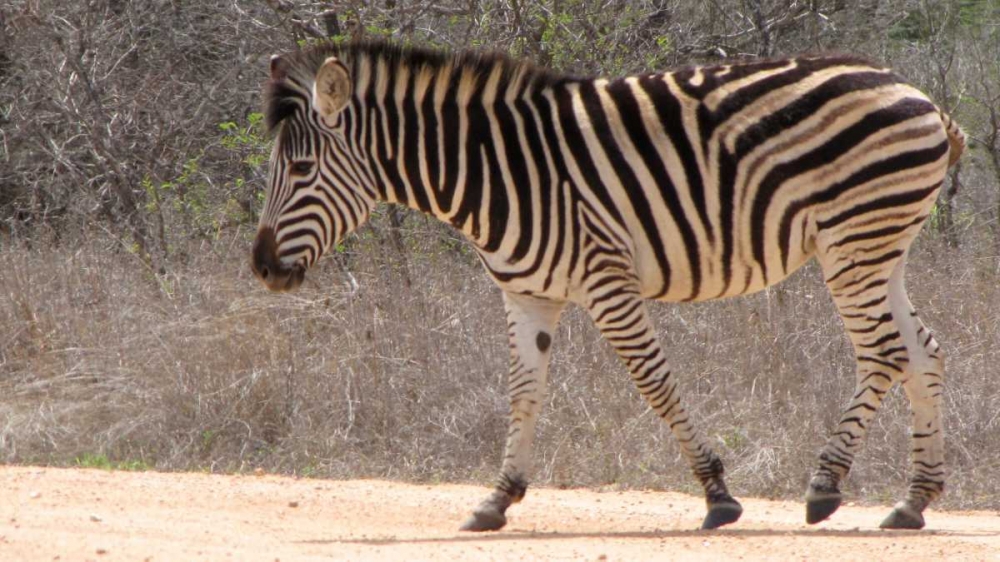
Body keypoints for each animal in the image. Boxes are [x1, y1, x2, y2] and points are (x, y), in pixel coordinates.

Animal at [250, 40, 964, 532]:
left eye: (302, 169)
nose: (260, 267)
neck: (494, 172)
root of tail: (918, 93)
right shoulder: (527, 294)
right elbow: (524, 393)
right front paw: (498, 497)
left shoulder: (605, 280)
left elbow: (654, 382)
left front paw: (717, 496)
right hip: (881, 249)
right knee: (923, 351)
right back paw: (913, 501)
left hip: (853, 241)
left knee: (885, 354)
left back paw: (825, 485)